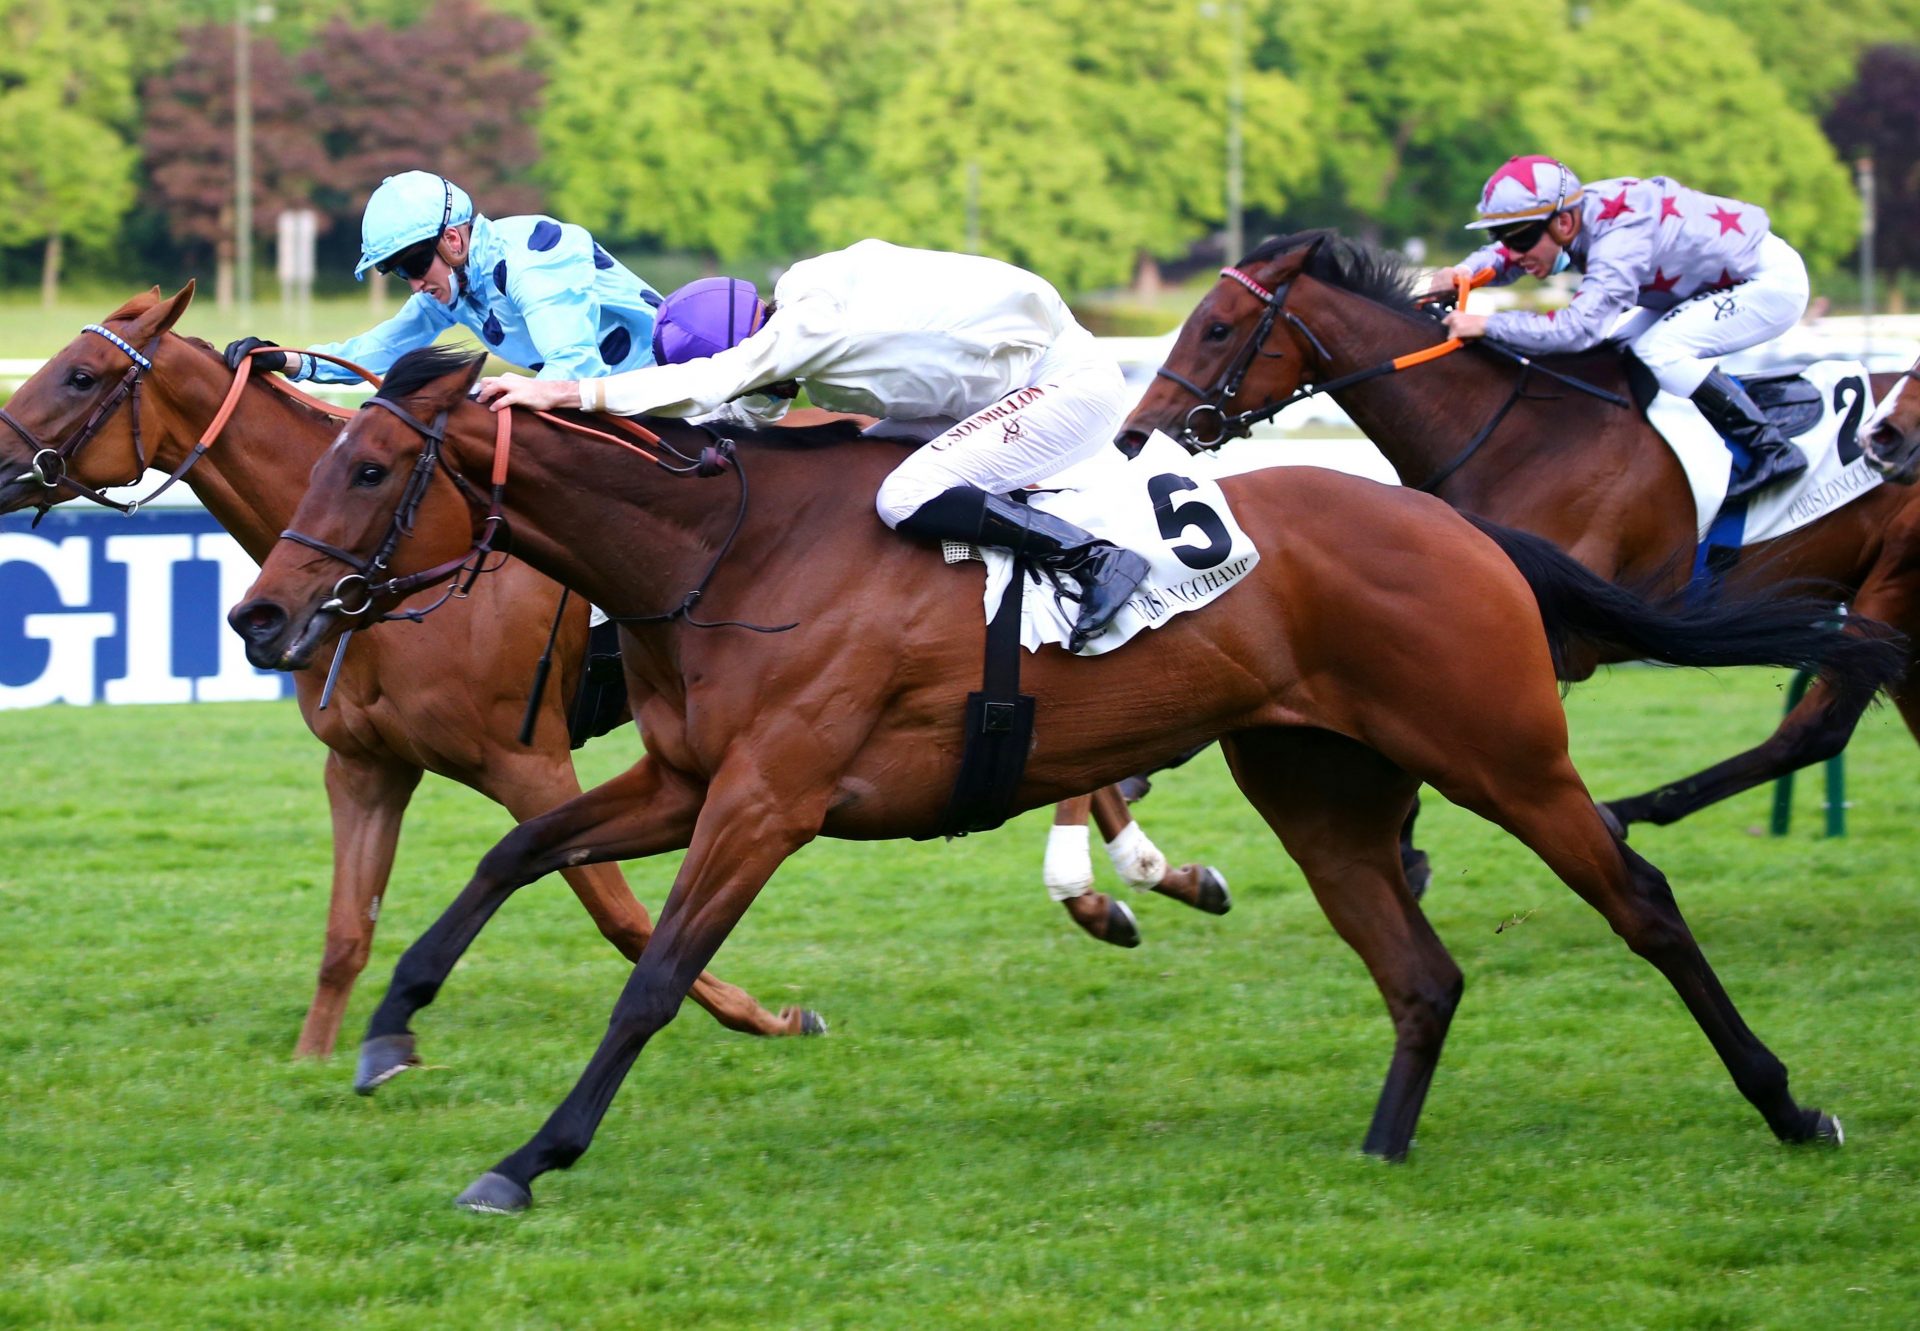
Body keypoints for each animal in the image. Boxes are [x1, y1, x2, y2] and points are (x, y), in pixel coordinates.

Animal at [0, 286, 817, 1052]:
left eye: (79, 375)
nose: (0, 462)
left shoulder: (532, 764)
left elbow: (620, 913)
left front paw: (769, 1016)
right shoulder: (365, 764)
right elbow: (345, 935)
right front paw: (318, 1061)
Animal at [228, 345, 1904, 1213]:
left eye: (368, 468)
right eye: (322, 458)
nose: (258, 617)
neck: (720, 554)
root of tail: (1461, 524)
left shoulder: (771, 798)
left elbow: (650, 976)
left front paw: (530, 1155)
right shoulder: (691, 776)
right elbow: (510, 860)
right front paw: (389, 1031)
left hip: (1499, 745)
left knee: (1641, 897)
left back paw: (1791, 1105)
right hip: (1320, 779)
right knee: (1420, 967)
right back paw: (1379, 1150)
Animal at [1121, 225, 1920, 829]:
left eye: (1217, 328)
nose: (1135, 433)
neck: (1513, 434)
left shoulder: (1546, 631)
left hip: (1890, 584)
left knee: (1814, 728)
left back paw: (1634, 808)